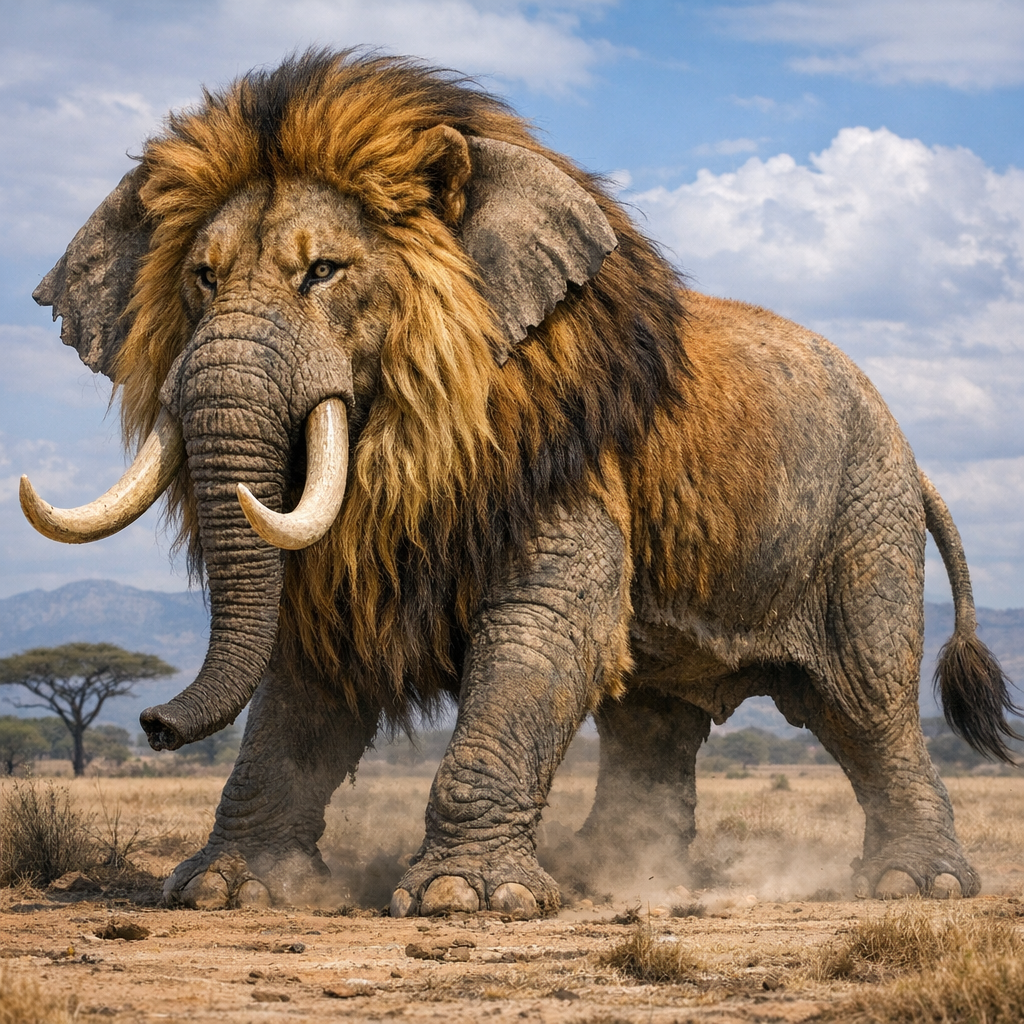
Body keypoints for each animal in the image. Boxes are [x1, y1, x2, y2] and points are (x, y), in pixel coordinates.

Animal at [22, 49, 1017, 915]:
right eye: (201, 277)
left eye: (322, 272)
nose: (152, 726)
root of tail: (913, 454)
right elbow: (301, 677)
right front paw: (225, 891)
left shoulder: (569, 467)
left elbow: (542, 634)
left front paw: (463, 899)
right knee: (652, 720)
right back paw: (617, 875)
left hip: (865, 525)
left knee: (869, 707)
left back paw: (916, 887)